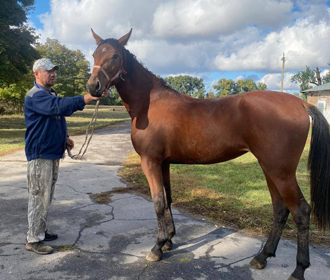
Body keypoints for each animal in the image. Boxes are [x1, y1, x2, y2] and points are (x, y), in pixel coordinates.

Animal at [87, 29, 330, 280]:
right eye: (94, 54)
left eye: (115, 56)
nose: (93, 86)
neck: (150, 105)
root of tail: (299, 103)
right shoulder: (164, 163)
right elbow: (168, 198)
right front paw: (169, 240)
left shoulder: (150, 161)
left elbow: (158, 202)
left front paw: (157, 247)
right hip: (269, 168)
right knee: (280, 210)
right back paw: (262, 257)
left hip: (281, 172)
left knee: (301, 212)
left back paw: (298, 270)